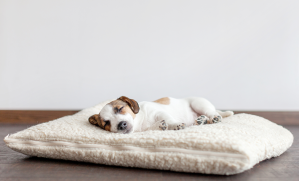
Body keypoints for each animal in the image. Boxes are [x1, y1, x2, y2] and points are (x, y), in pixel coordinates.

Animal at [89, 96, 234, 133]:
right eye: (106, 123)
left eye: (119, 109)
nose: (121, 125)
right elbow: (156, 126)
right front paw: (160, 126)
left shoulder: (160, 113)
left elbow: (168, 119)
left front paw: (174, 125)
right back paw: (202, 120)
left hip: (199, 103)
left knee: (212, 113)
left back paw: (215, 117)